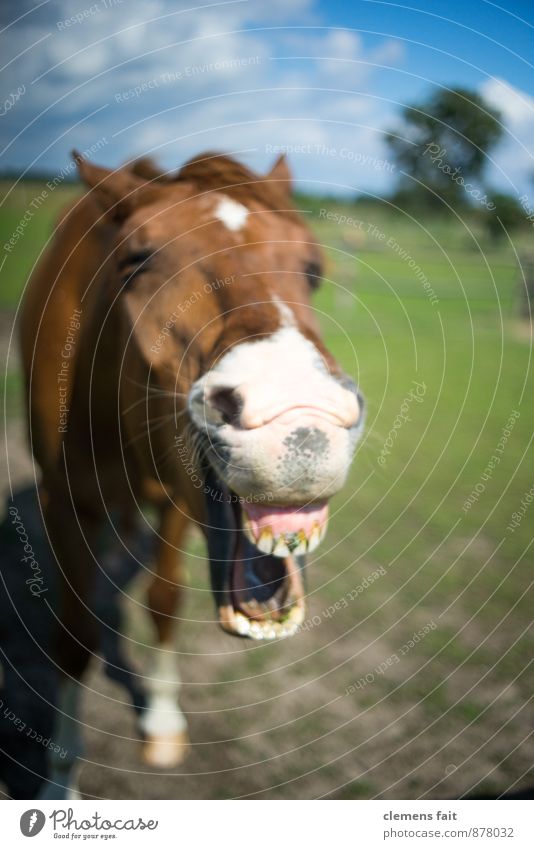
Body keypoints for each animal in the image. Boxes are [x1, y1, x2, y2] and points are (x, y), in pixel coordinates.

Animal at [18, 151, 366, 796]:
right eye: (137, 258)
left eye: (312, 268)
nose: (301, 426)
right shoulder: (64, 501)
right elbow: (74, 639)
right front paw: (59, 782)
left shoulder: (177, 503)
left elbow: (163, 602)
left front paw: (160, 721)